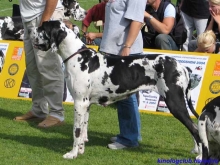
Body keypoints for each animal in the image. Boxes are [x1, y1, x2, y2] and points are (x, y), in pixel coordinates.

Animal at [30, 20, 201, 159]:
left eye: (42, 28)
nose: (31, 29)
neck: (77, 57)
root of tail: (181, 66)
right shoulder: (86, 105)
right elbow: (83, 130)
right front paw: (80, 150)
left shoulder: (79, 103)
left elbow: (76, 131)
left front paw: (72, 154)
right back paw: (196, 150)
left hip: (174, 103)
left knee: (194, 128)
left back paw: (200, 156)